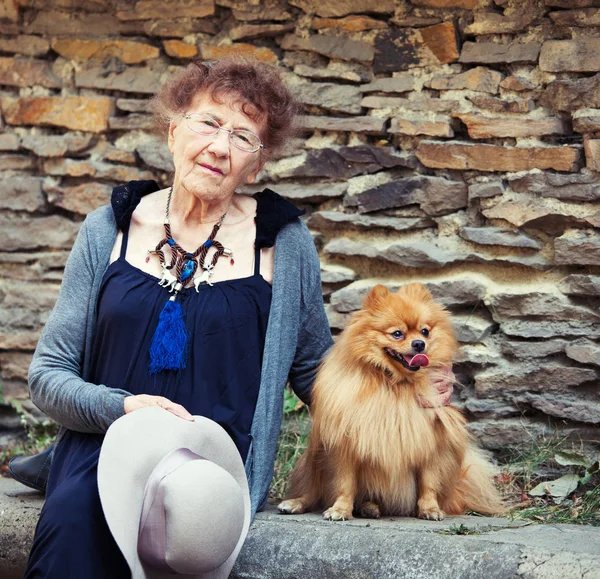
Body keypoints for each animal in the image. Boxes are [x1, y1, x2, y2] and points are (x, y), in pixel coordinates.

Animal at [278, 284, 504, 520]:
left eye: (425, 331)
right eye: (397, 333)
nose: (419, 343)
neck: (396, 383)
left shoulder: (432, 445)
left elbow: (429, 483)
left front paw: (430, 509)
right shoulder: (346, 446)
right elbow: (345, 484)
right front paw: (340, 509)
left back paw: (370, 507)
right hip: (315, 456)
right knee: (313, 491)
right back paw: (296, 503)